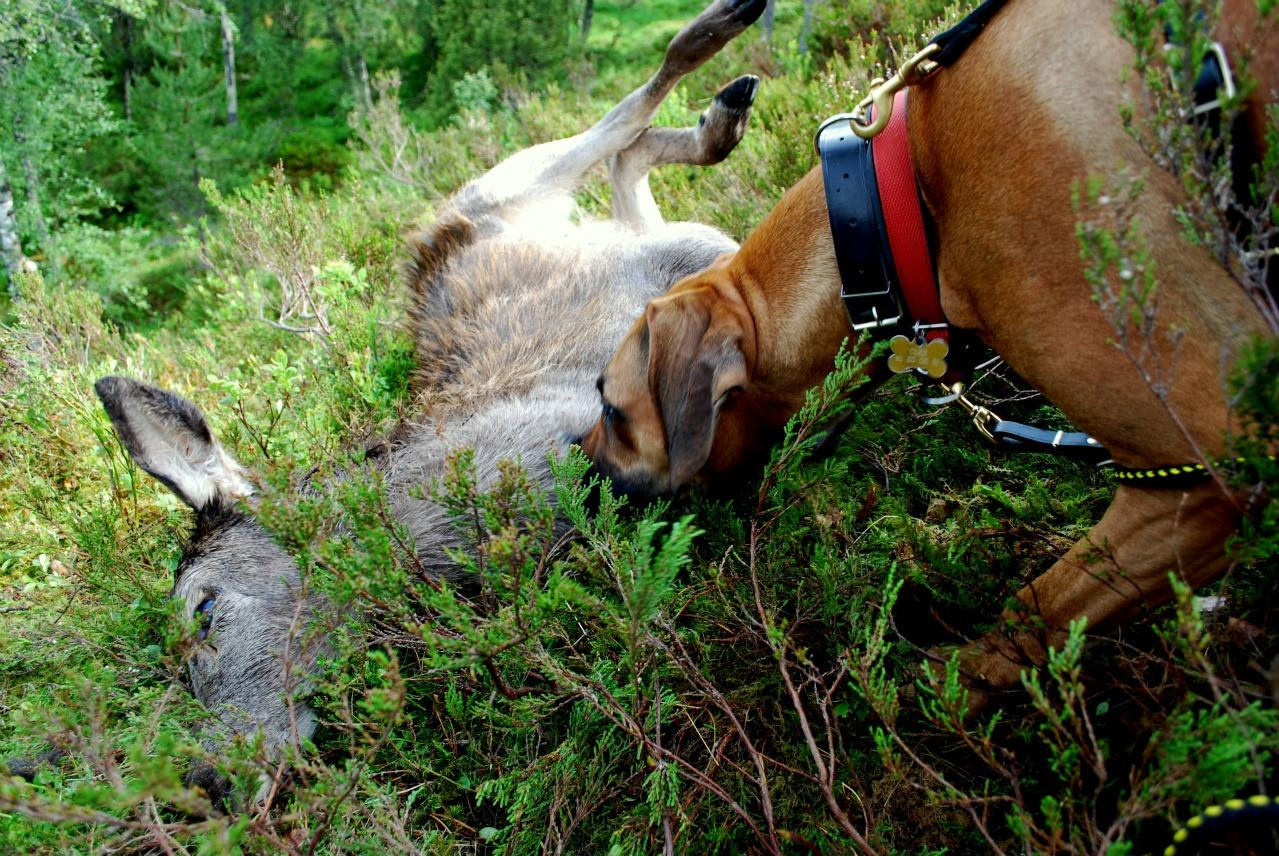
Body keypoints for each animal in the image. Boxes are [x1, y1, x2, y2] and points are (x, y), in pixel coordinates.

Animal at [583, 0, 1279, 690]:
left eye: (611, 408)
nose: (576, 476)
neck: (893, 203)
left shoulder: (1200, 469)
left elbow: (1036, 610)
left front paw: (942, 684)